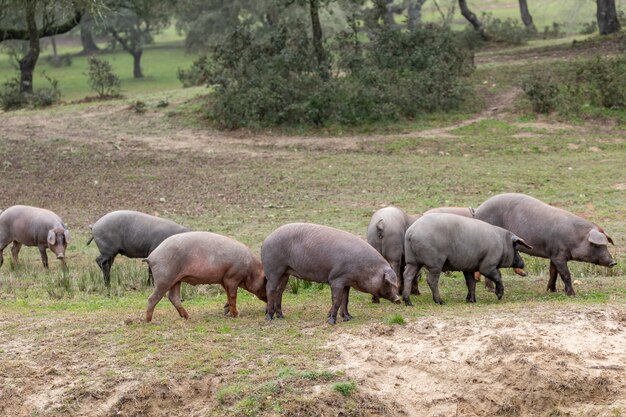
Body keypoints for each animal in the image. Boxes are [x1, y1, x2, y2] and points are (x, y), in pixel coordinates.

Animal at [260, 223, 400, 324]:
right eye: (386, 282)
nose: (398, 299)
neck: (364, 268)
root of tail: (266, 240)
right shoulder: (336, 279)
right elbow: (337, 300)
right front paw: (332, 321)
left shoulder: (347, 282)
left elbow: (345, 300)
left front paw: (349, 318)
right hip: (273, 269)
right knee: (270, 289)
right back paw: (269, 318)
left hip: (285, 272)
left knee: (280, 291)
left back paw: (281, 316)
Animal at [472, 193, 616, 296]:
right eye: (597, 245)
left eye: (606, 245)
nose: (613, 262)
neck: (575, 238)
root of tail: (477, 211)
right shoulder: (559, 255)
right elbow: (565, 274)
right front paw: (572, 295)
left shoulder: (554, 254)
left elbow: (553, 273)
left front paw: (551, 291)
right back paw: (490, 289)